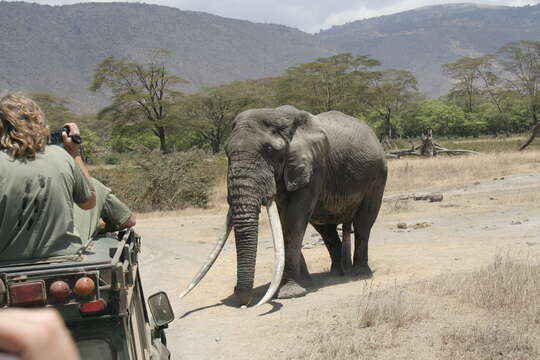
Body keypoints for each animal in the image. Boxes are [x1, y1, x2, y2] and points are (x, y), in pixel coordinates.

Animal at [179, 105, 386, 308]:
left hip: (377, 175)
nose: (240, 297)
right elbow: (283, 218)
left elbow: (294, 220)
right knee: (326, 230)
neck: (279, 116)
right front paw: (303, 284)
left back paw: (359, 274)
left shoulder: (313, 167)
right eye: (226, 151)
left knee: (363, 224)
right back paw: (335, 274)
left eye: (270, 150)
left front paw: (290, 293)